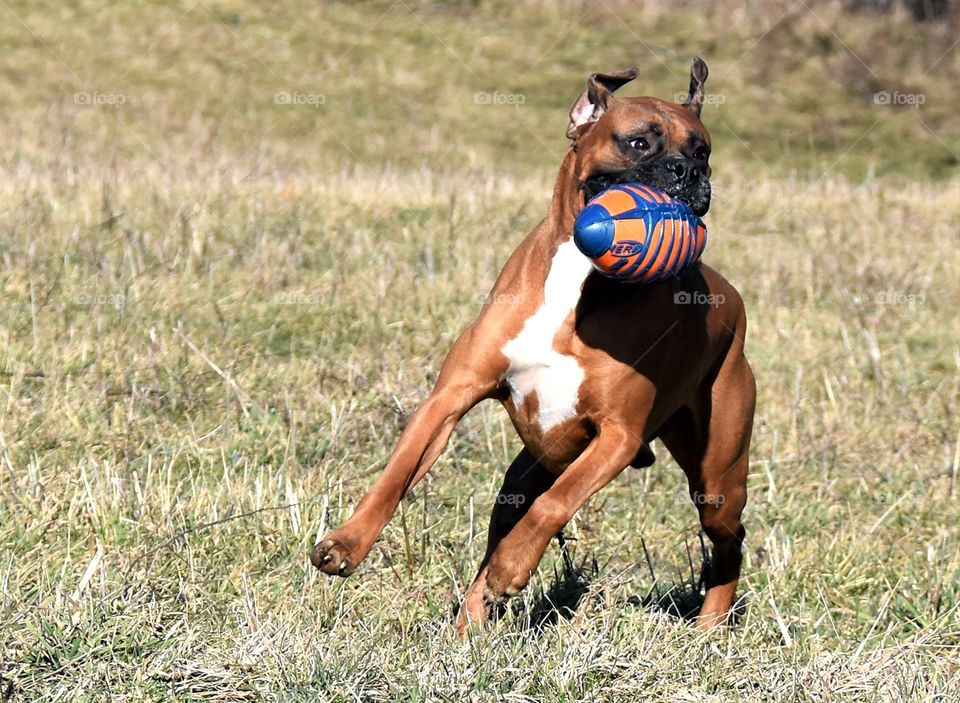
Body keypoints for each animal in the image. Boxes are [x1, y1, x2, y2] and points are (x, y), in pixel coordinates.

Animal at [312, 59, 752, 632]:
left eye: (703, 150)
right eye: (638, 142)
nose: (688, 172)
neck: (579, 281)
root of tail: (731, 296)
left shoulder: (617, 437)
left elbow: (555, 506)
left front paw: (513, 567)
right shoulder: (450, 398)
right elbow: (396, 475)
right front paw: (347, 542)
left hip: (718, 478)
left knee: (730, 538)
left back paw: (709, 626)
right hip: (522, 476)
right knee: (501, 529)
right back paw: (469, 627)